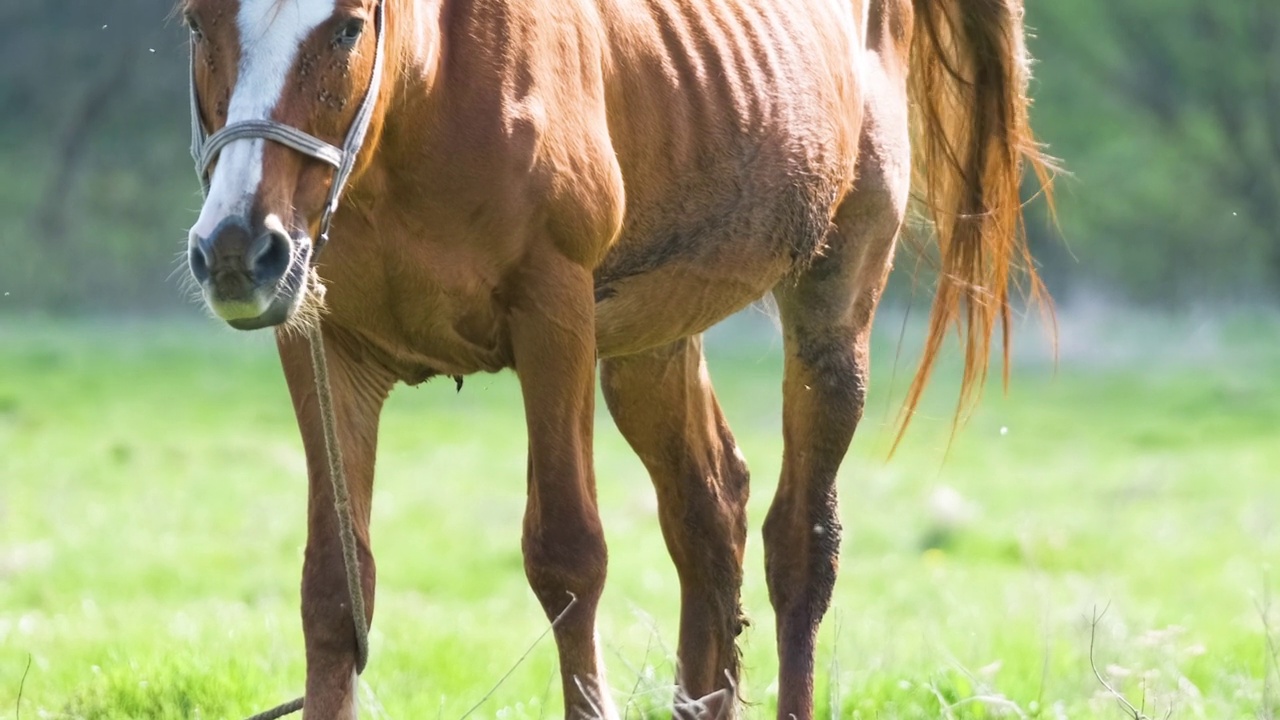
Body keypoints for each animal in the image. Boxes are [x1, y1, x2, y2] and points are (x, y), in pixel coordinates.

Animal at [177, 0, 1049, 712]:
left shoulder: (554, 318)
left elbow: (567, 558)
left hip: (833, 305)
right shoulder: (320, 343)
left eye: (349, 27)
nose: (237, 247)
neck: (424, 102)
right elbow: (335, 586)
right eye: (196, 22)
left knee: (800, 544)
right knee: (711, 516)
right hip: (654, 341)